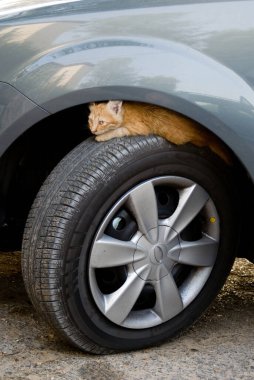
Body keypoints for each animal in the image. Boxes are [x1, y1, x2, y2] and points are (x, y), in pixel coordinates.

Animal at [88, 100, 231, 164]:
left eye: (101, 122)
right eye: (90, 120)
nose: (93, 130)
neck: (125, 112)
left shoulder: (137, 127)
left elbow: (118, 130)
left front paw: (102, 136)